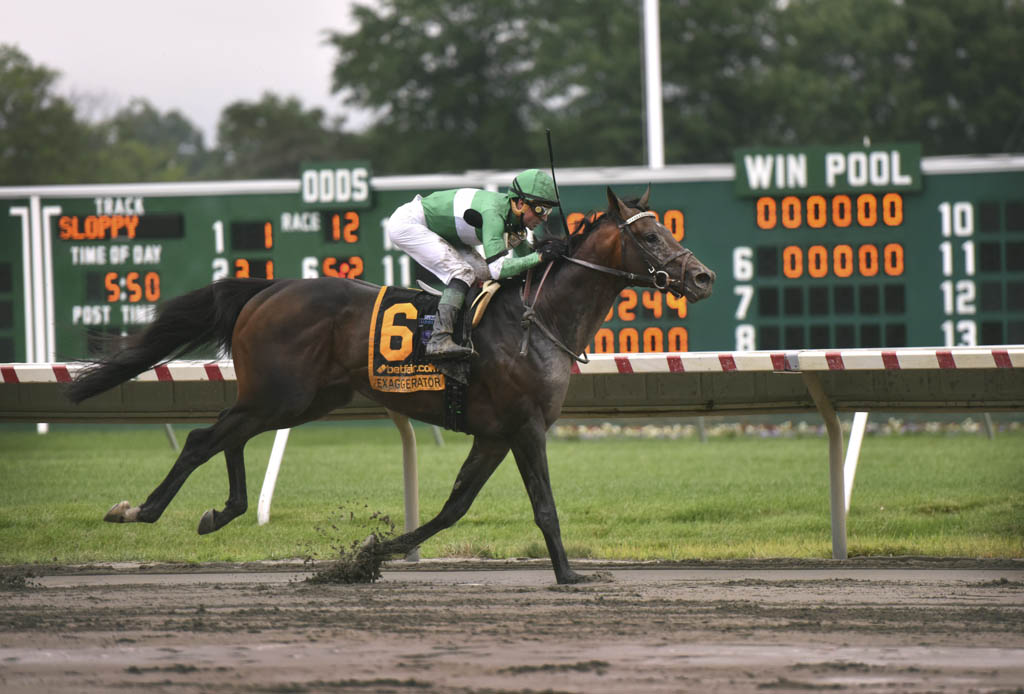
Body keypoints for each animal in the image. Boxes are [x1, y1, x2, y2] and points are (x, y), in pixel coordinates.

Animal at [68, 187, 716, 585]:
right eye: (650, 238)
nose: (704, 276)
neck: (539, 318)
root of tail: (268, 288)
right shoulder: (525, 425)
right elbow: (544, 506)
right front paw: (568, 574)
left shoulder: (494, 434)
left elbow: (454, 507)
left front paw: (371, 553)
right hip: (281, 394)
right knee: (204, 438)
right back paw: (140, 510)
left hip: (298, 401)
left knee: (230, 437)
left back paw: (221, 511)